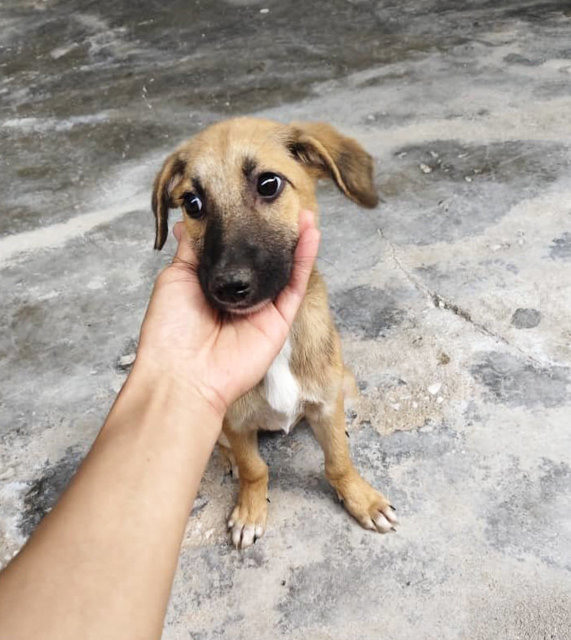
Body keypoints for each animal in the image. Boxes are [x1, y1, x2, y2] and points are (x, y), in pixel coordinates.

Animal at [154, 117, 400, 548]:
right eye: (192, 203)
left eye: (269, 184)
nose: (228, 287)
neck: (281, 348)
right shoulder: (234, 420)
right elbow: (256, 469)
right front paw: (250, 511)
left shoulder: (326, 400)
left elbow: (338, 461)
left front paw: (362, 500)